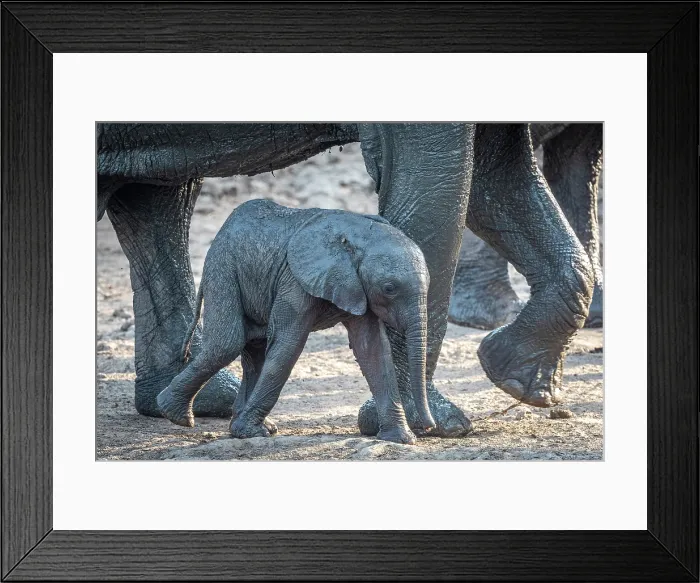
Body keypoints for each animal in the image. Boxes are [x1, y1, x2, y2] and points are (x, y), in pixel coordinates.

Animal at [155, 199, 435, 444]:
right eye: (389, 289)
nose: (428, 427)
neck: (357, 233)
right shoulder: (294, 279)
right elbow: (289, 344)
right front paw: (248, 433)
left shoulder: (357, 286)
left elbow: (373, 350)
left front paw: (401, 439)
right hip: (223, 267)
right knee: (227, 344)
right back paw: (175, 414)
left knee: (254, 351)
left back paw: (258, 426)